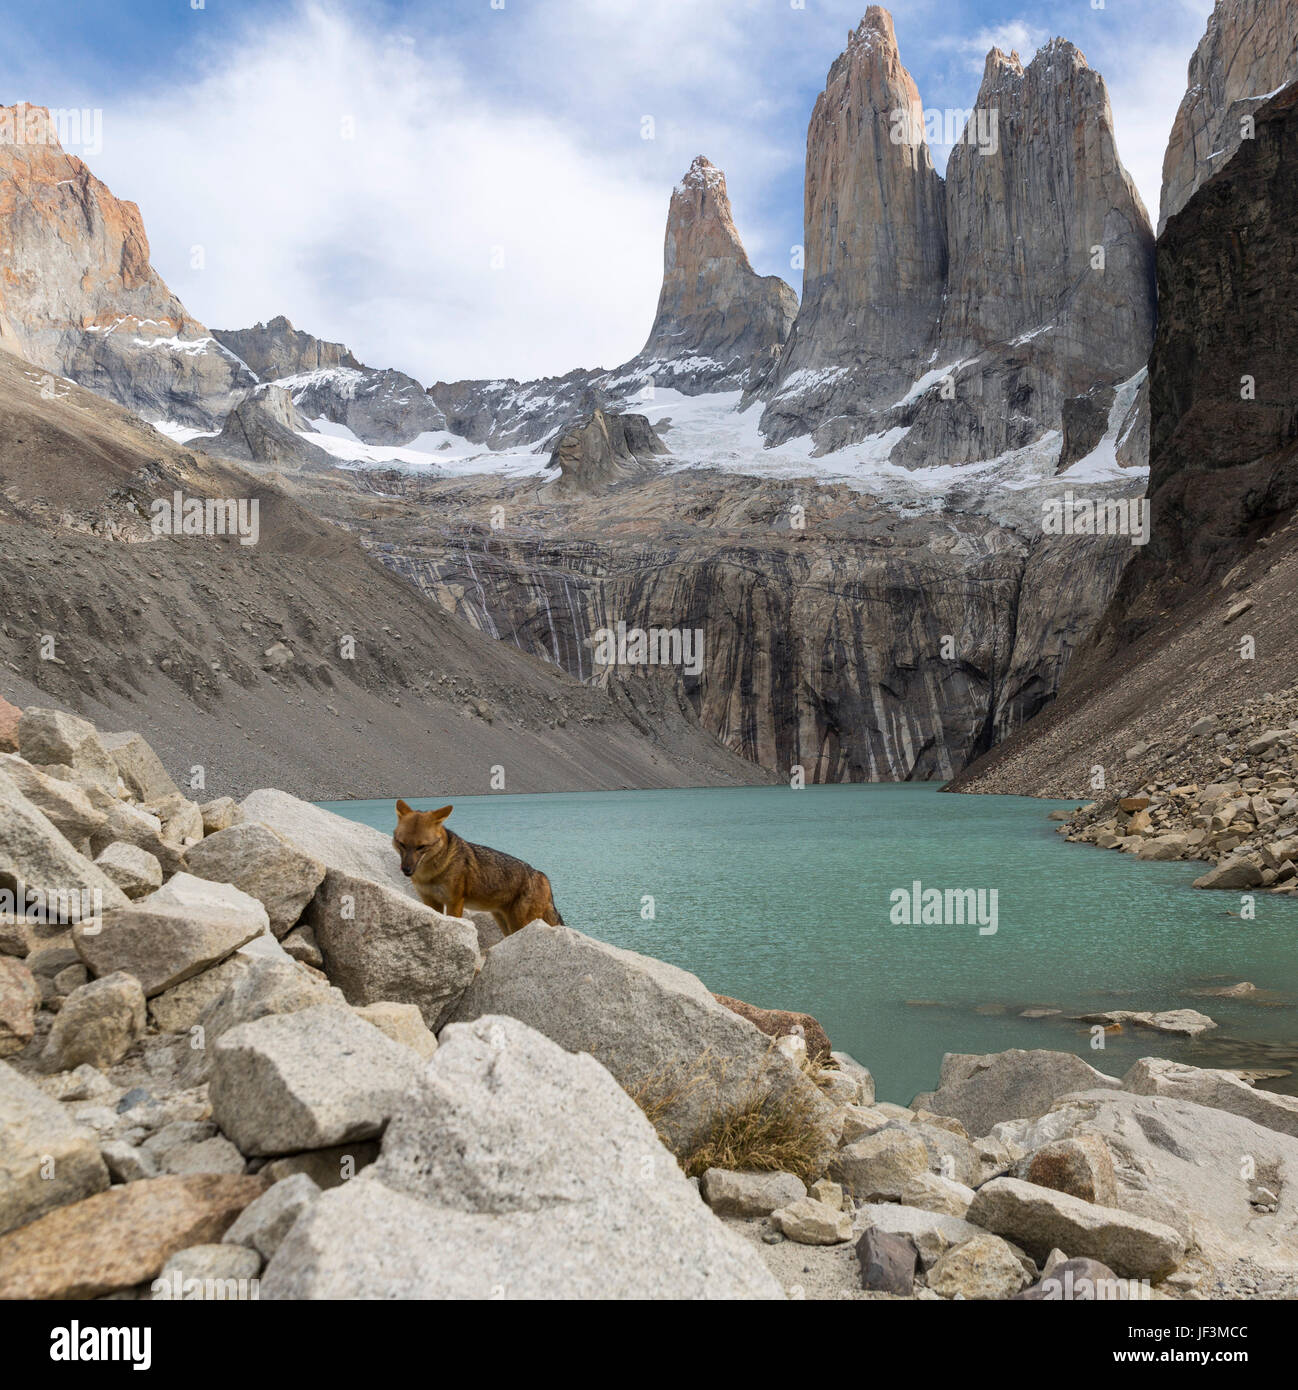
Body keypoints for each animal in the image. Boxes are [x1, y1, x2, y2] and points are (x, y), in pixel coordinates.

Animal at [392, 799, 564, 936]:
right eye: (402, 844)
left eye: (421, 847)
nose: (406, 869)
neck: (430, 875)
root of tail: (542, 876)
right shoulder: (430, 902)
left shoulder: (454, 902)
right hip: (504, 922)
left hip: (520, 923)